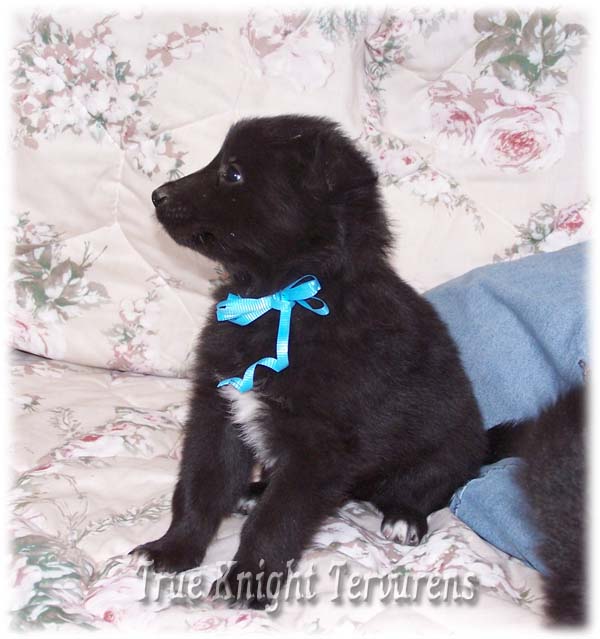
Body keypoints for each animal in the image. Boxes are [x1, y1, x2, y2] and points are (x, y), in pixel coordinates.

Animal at [133, 115, 487, 607]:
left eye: (233, 173)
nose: (157, 195)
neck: (277, 297)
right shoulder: (218, 408)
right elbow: (199, 486)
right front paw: (173, 549)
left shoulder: (321, 446)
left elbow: (277, 520)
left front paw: (248, 582)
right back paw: (254, 490)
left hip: (446, 449)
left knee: (424, 489)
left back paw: (404, 518)